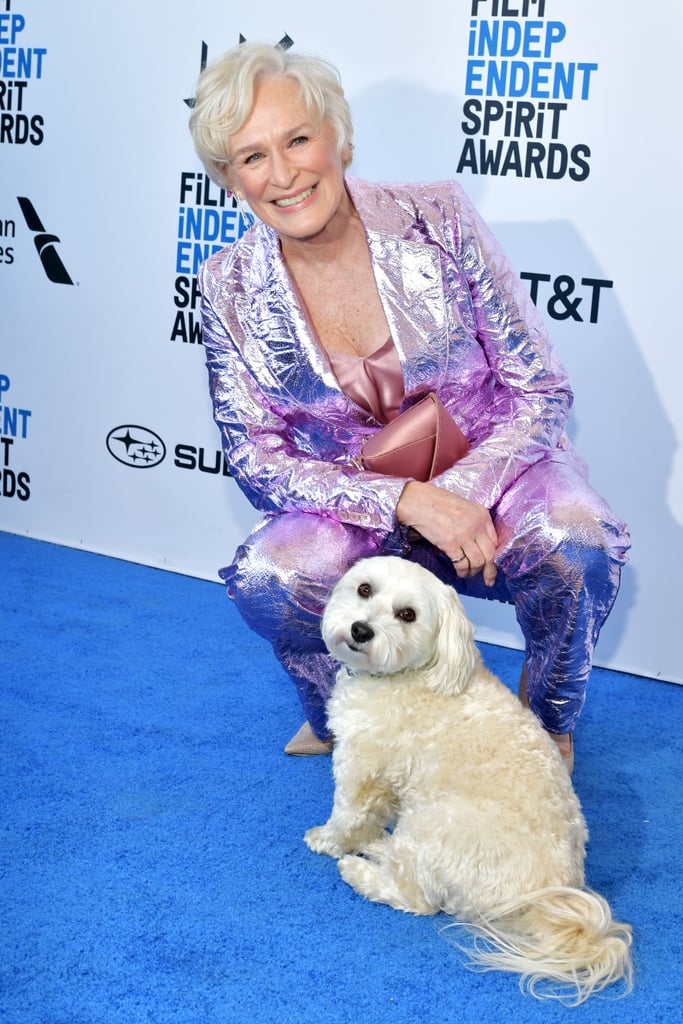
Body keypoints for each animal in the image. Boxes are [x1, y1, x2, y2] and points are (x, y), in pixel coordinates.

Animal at [307, 557, 634, 1003]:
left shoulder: (360, 767)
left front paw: (327, 840)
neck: (412, 674)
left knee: (415, 897)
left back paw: (359, 872)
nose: (361, 630)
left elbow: (347, 815)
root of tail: (543, 903)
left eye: (407, 615)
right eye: (364, 590)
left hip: (433, 823)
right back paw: (377, 846)